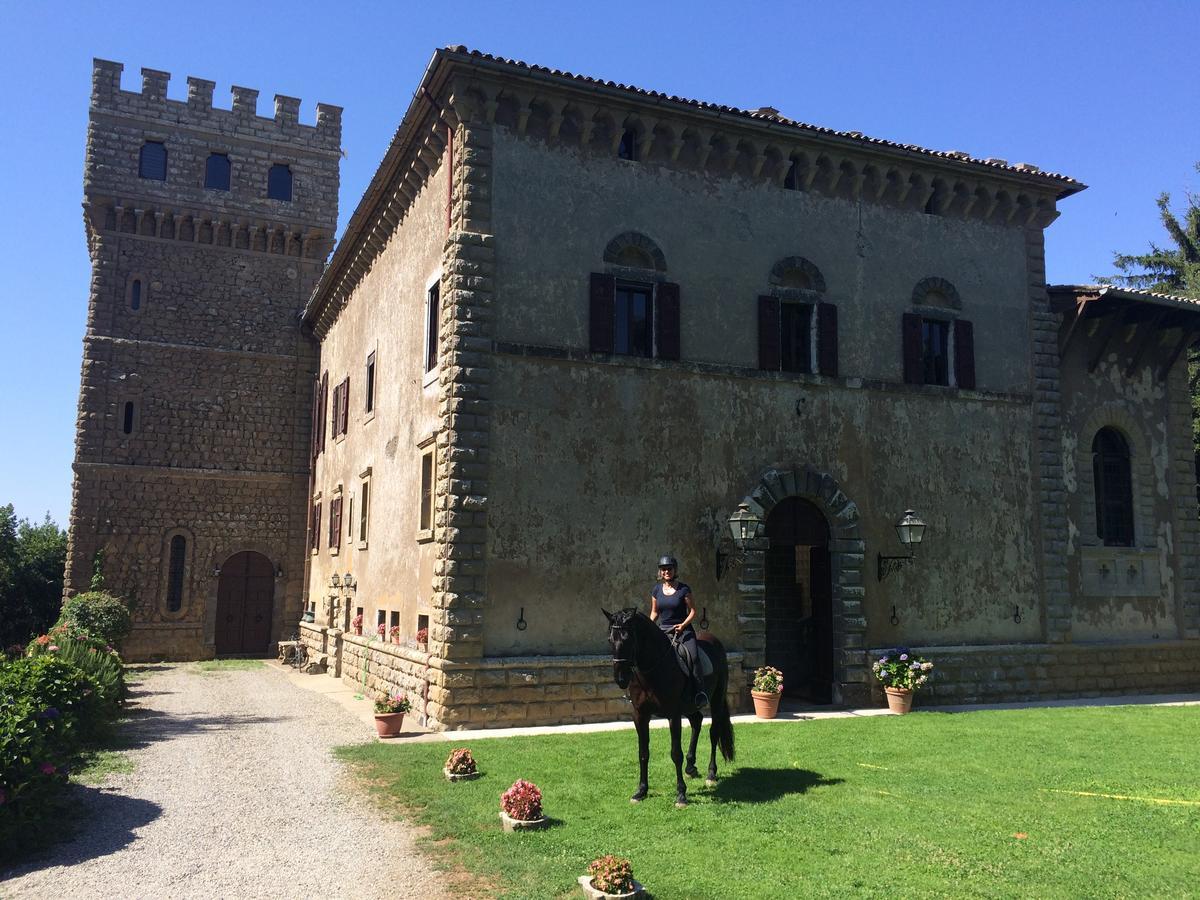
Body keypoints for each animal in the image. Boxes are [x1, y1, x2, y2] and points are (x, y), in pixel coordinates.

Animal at [604, 607, 734, 811]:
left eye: (628, 638)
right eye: (610, 639)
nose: (621, 679)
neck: (653, 668)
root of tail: (714, 640)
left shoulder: (673, 715)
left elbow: (675, 754)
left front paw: (681, 795)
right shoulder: (640, 715)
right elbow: (643, 753)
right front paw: (641, 791)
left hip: (716, 699)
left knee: (713, 732)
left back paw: (711, 774)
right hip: (690, 707)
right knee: (697, 721)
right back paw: (691, 767)